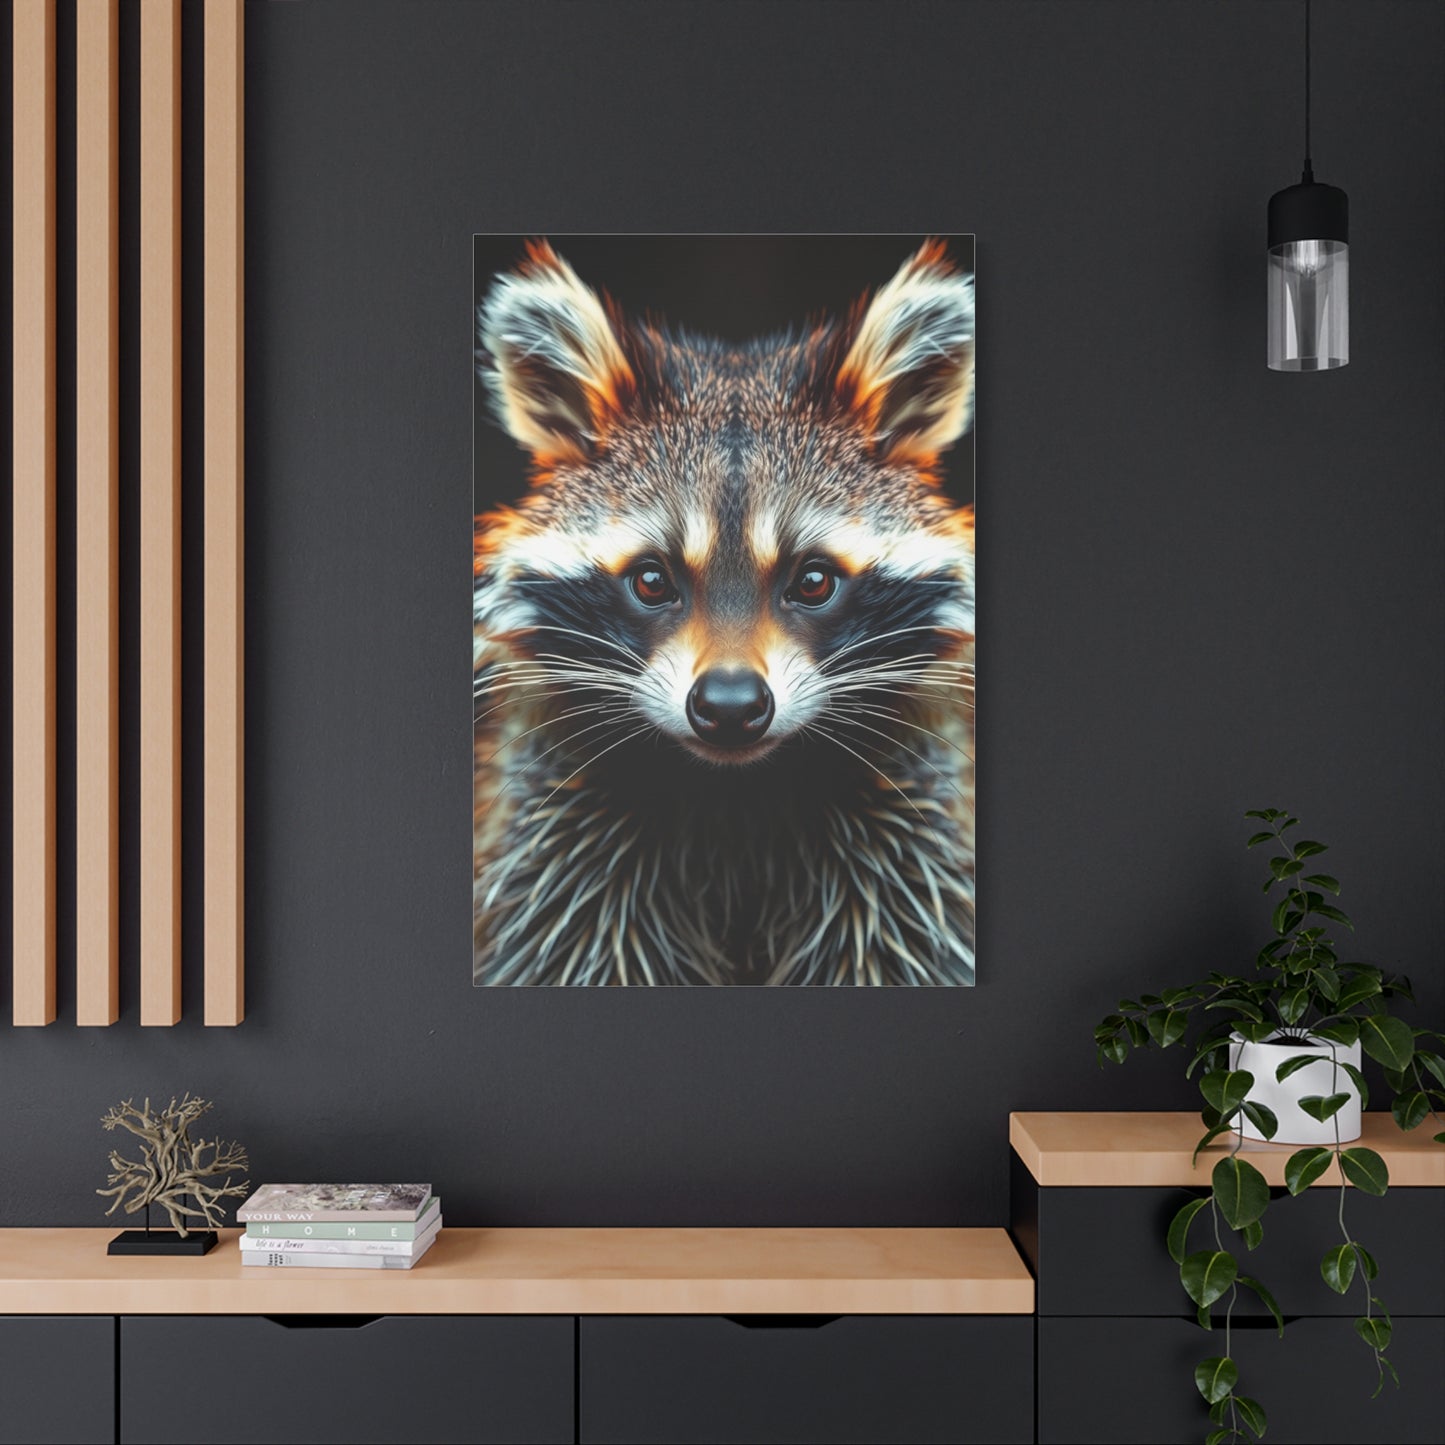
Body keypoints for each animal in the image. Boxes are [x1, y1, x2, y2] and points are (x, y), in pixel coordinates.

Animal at [473, 239, 975, 985]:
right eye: (652, 580)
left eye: (813, 581)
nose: (732, 706)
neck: (736, 802)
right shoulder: (557, 837)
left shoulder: (910, 836)